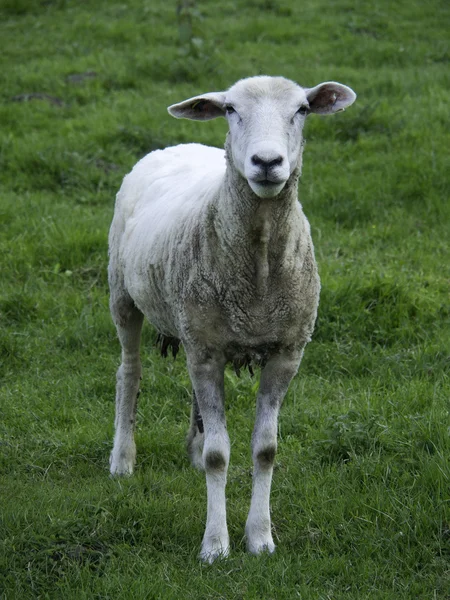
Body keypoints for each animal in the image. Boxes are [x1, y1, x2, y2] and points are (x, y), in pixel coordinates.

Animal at [108, 75, 356, 564]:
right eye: (230, 110)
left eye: (302, 109)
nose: (267, 162)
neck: (258, 266)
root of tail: (179, 144)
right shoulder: (206, 350)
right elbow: (220, 457)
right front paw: (215, 545)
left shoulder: (283, 352)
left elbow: (265, 449)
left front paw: (260, 538)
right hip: (122, 294)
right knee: (130, 371)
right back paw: (122, 460)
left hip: (194, 325)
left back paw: (192, 446)